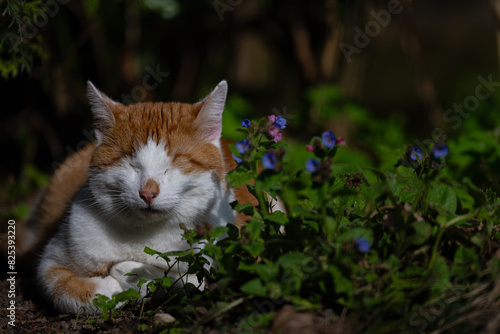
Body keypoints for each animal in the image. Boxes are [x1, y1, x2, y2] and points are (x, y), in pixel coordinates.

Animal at [26, 80, 254, 314]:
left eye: (174, 163)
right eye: (130, 162)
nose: (148, 193)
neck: (143, 233)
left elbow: (182, 280)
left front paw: (125, 274)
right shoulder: (49, 261)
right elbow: (62, 287)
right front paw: (107, 289)